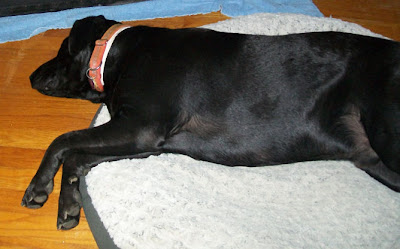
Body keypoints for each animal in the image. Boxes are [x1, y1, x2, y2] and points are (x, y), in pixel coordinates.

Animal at [22, 15, 400, 230]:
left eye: (61, 49)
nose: (30, 76)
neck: (116, 52)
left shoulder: (140, 125)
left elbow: (63, 139)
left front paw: (38, 186)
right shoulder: (142, 141)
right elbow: (77, 155)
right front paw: (69, 203)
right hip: (374, 160)